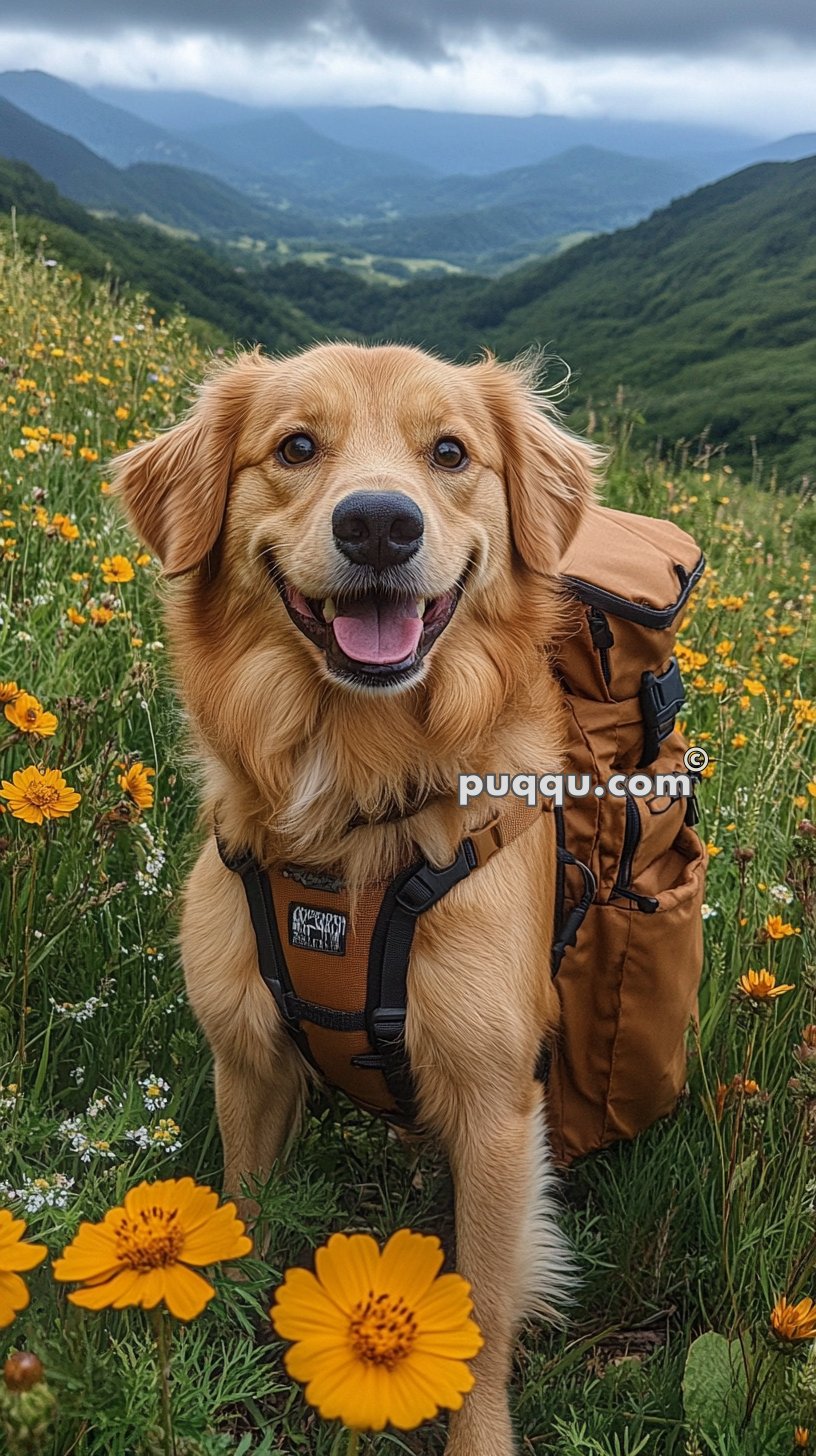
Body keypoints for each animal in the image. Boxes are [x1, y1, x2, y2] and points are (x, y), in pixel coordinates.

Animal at [111, 343, 603, 1456]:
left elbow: (485, 1309)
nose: (379, 523)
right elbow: (242, 1221)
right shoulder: (247, 1063)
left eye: (451, 452)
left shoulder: (496, 1111)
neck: (360, 806)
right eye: (296, 446)